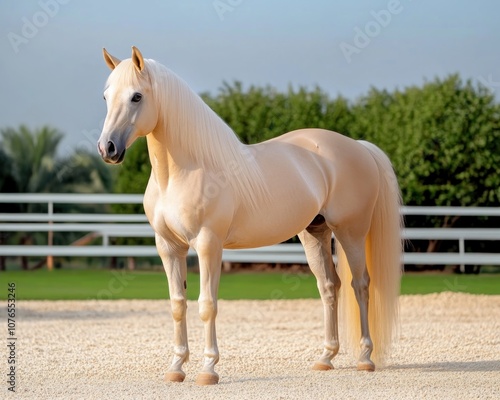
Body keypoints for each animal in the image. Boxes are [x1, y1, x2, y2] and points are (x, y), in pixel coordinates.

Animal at [96, 46, 402, 384]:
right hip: (315, 233)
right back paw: (326, 358)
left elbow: (207, 305)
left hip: (351, 232)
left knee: (360, 285)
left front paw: (208, 370)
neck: (183, 173)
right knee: (329, 287)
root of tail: (358, 146)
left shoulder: (208, 245)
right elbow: (178, 305)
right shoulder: (168, 247)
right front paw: (176, 368)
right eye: (106, 96)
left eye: (136, 96)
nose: (107, 149)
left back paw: (365, 358)